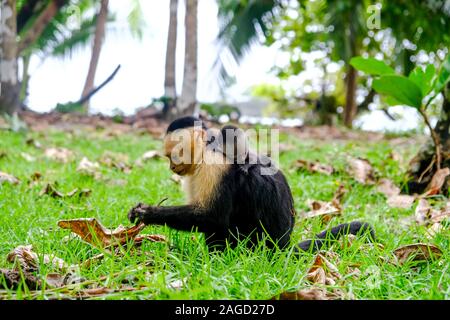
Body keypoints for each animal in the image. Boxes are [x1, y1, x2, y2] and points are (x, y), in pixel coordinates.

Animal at [127, 116, 376, 254]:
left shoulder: (214, 165)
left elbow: (211, 216)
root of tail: (282, 248)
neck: (206, 150)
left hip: (258, 242)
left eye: (173, 155)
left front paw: (148, 213)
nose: (171, 167)